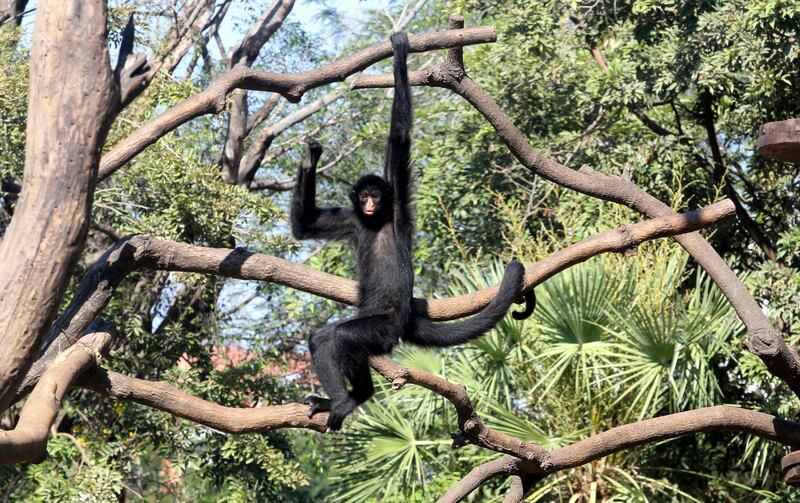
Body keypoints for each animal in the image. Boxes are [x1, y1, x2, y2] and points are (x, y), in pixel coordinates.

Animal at [290, 32, 536, 434]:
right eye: (363, 196)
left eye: (376, 195)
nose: (369, 203)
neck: (375, 221)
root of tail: (401, 319)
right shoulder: (352, 219)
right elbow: (304, 226)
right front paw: (310, 159)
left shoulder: (397, 203)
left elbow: (400, 137)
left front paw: (400, 53)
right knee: (325, 337)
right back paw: (344, 397)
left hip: (382, 328)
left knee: (343, 336)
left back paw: (352, 397)